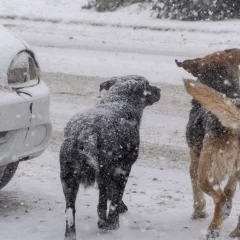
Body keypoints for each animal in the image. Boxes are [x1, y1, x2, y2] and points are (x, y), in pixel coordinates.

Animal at [60, 75, 161, 240]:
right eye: (147, 84)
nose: (159, 90)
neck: (118, 101)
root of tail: (87, 131)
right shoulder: (123, 169)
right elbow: (115, 196)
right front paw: (115, 218)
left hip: (68, 178)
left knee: (70, 210)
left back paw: (71, 234)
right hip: (104, 172)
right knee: (101, 206)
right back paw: (109, 225)